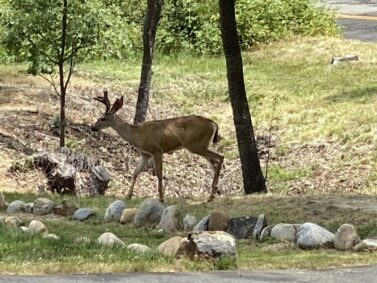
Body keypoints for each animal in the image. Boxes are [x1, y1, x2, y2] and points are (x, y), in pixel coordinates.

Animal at [91, 90, 222, 203]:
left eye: (102, 118)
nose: (93, 127)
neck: (138, 135)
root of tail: (214, 124)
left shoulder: (157, 150)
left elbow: (159, 174)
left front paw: (161, 198)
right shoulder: (145, 154)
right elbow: (135, 172)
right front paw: (128, 195)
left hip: (196, 145)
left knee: (220, 157)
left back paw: (212, 195)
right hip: (201, 146)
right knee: (215, 162)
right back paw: (212, 194)